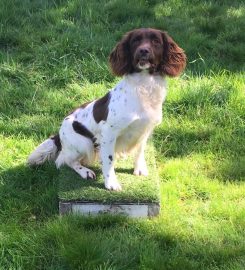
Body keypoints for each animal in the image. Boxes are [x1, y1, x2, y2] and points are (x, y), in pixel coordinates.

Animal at [27, 28, 186, 191]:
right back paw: (85, 171)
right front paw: (111, 183)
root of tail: (58, 134)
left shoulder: (146, 130)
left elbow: (140, 150)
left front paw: (139, 168)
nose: (143, 51)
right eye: (135, 41)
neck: (144, 86)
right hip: (84, 142)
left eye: (156, 41)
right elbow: (109, 159)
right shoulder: (109, 131)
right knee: (65, 160)